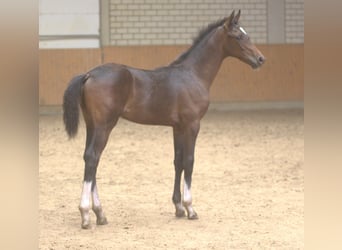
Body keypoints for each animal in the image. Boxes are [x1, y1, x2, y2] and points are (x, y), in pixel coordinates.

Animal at [63, 9, 264, 229]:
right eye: (238, 36)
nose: (260, 59)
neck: (192, 74)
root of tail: (89, 74)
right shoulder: (192, 125)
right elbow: (189, 161)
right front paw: (190, 208)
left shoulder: (177, 127)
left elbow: (178, 161)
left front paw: (178, 207)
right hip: (104, 126)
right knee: (93, 158)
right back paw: (86, 214)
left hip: (92, 125)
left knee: (90, 158)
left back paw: (100, 213)